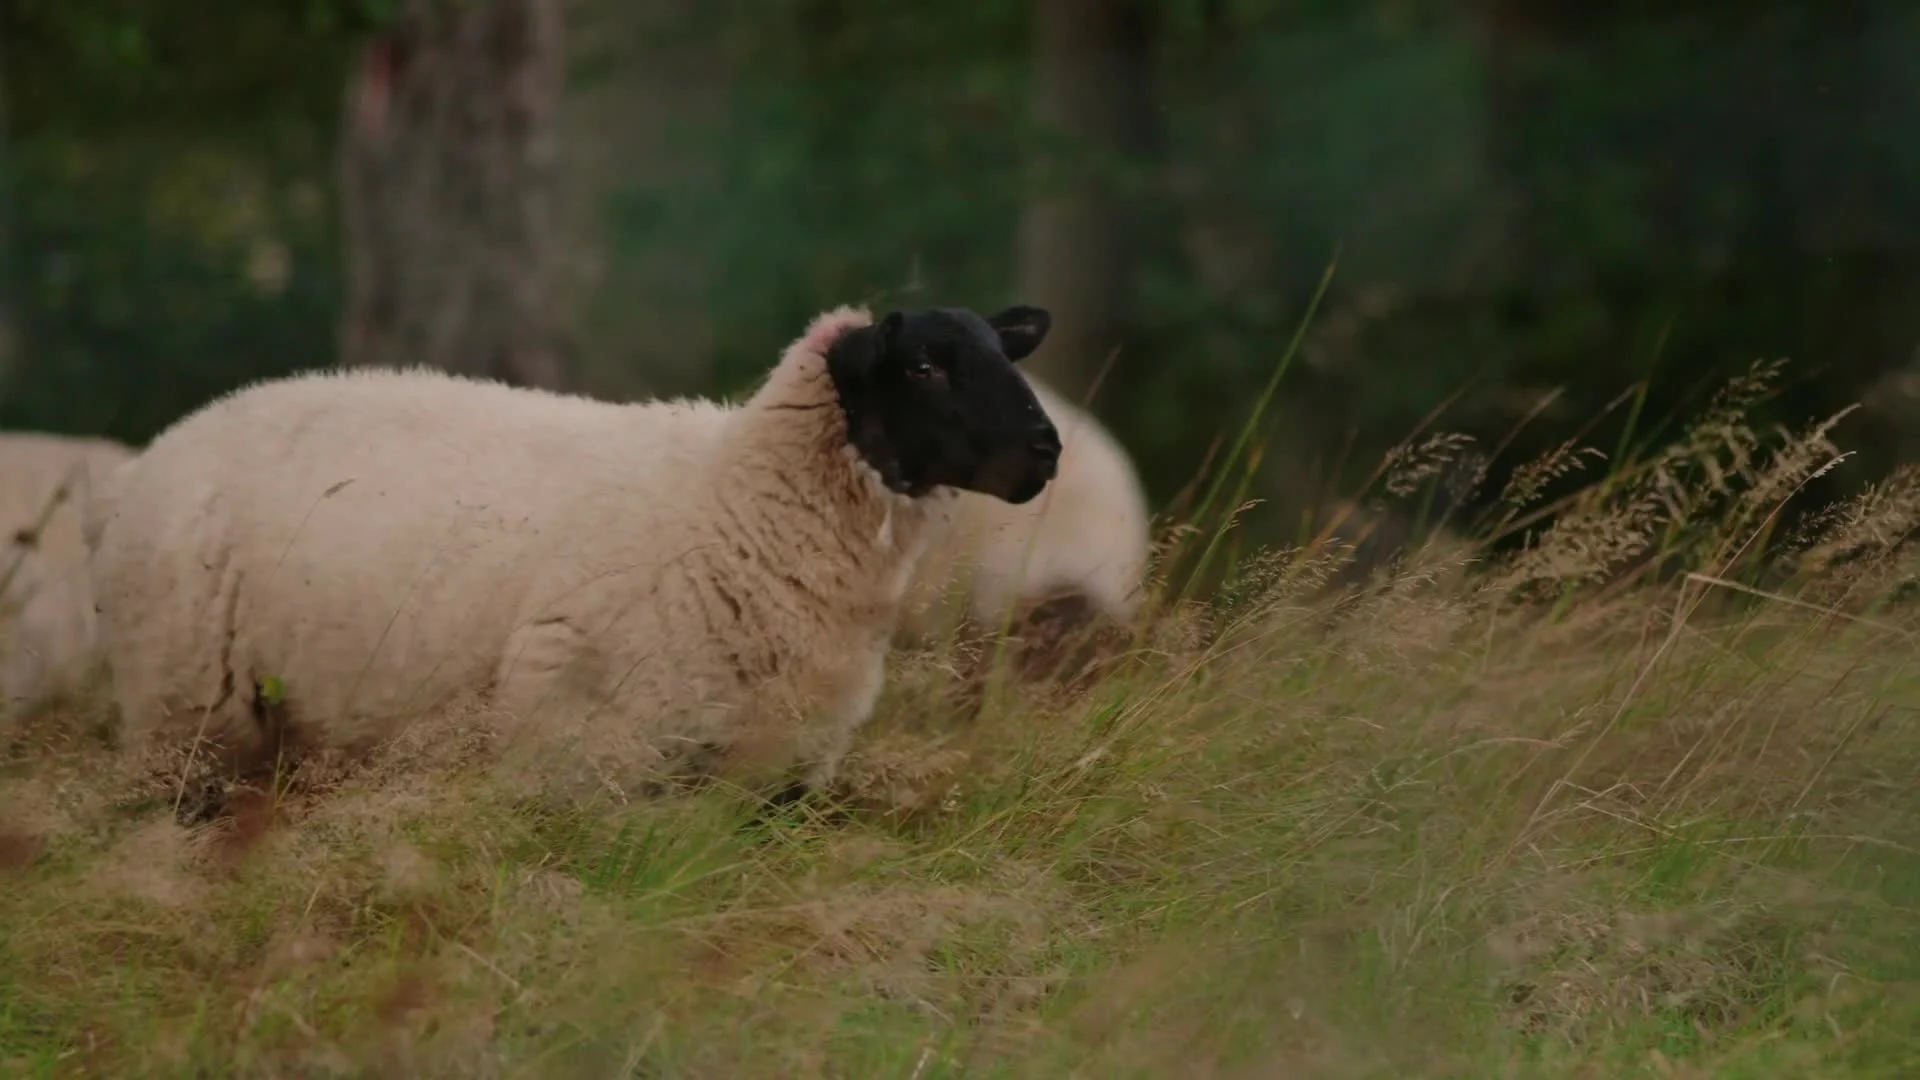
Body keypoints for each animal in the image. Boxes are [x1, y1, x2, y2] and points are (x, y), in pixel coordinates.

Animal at [88, 303, 1063, 799]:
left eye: (1000, 352)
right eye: (925, 367)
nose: (1047, 451)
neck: (737, 502)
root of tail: (160, 449)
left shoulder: (774, 773)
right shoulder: (581, 747)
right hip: (184, 715)